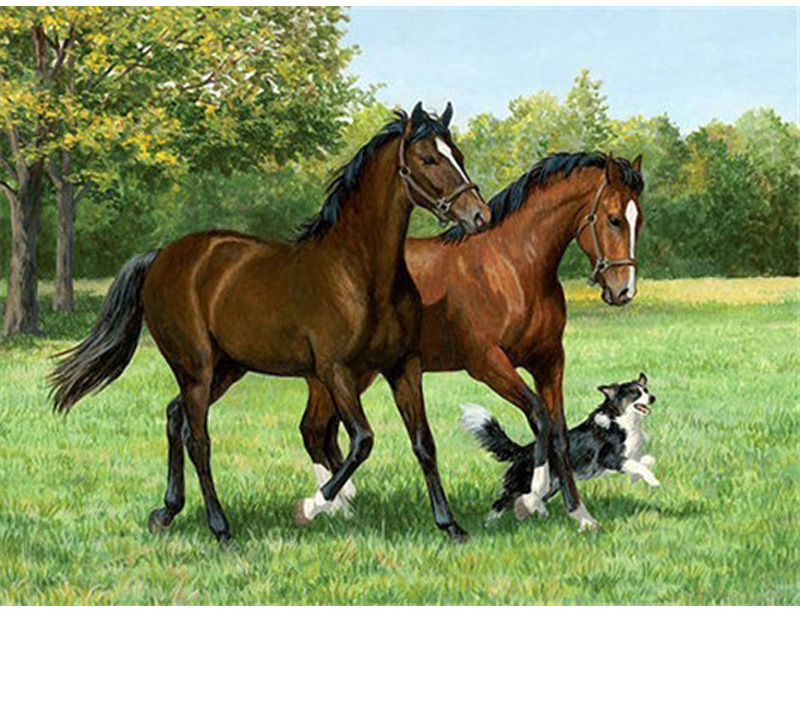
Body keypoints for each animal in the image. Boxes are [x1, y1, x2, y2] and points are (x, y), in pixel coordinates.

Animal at [49, 102, 491, 543]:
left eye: (458, 154)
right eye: (429, 158)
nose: (479, 216)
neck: (358, 273)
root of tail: (161, 256)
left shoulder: (404, 366)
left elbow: (423, 443)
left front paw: (450, 525)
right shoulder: (336, 371)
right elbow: (362, 440)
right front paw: (312, 506)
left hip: (225, 369)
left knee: (175, 417)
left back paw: (167, 511)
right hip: (196, 368)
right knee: (198, 439)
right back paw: (220, 528)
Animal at [300, 152, 644, 531]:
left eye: (637, 221)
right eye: (614, 219)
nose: (623, 291)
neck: (511, 266)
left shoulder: (549, 361)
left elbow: (558, 433)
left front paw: (580, 515)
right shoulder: (487, 364)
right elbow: (539, 416)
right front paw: (532, 496)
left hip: (354, 374)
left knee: (321, 431)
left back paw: (341, 506)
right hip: (338, 374)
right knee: (314, 430)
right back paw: (330, 506)